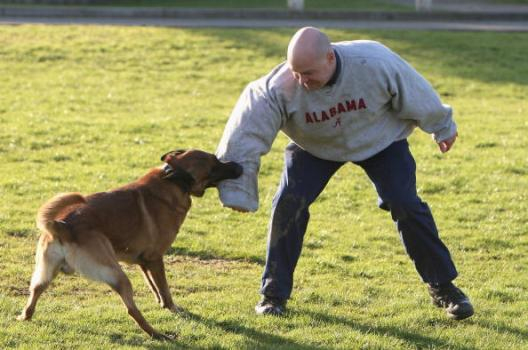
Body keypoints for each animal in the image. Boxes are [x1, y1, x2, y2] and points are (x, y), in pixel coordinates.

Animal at [17, 150, 243, 340]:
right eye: (215, 163)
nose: (239, 165)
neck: (174, 179)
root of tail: (62, 225)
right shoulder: (155, 259)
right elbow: (165, 289)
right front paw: (172, 308)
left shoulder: (144, 261)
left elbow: (154, 287)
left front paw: (161, 304)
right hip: (118, 275)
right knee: (132, 309)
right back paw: (157, 334)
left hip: (46, 272)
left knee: (35, 291)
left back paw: (24, 316)